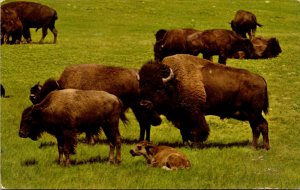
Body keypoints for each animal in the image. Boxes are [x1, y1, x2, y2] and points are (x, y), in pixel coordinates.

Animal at [28, 64, 162, 142]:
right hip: (138, 107)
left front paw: (90, 141)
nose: (37, 109)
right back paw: (143, 140)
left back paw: (142, 140)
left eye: (37, 97)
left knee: (144, 123)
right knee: (144, 123)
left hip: (138, 107)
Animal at [139, 53, 270, 150]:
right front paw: (187, 144)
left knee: (258, 127)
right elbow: (184, 131)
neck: (175, 82)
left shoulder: (194, 113)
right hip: (251, 114)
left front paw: (197, 145)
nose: (144, 104)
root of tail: (262, 79)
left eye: (158, 88)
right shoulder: (181, 117)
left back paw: (255, 147)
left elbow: (197, 130)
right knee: (261, 125)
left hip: (253, 113)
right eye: (141, 87)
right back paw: (263, 147)